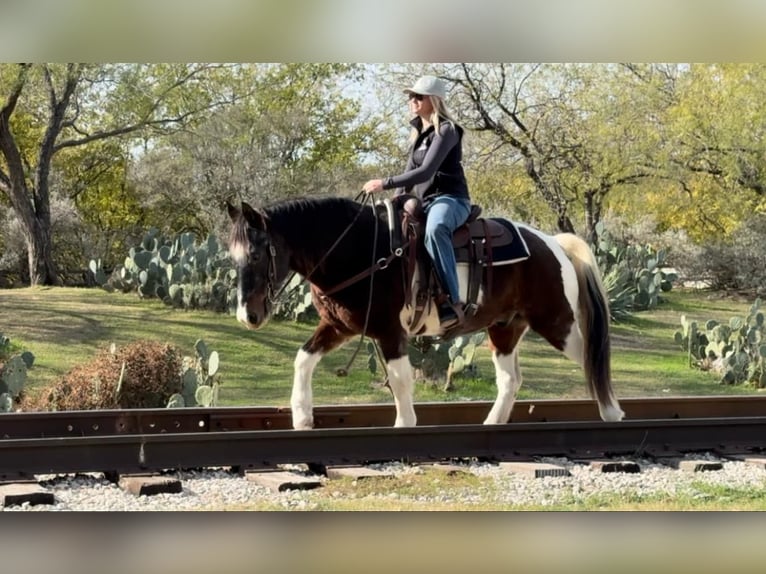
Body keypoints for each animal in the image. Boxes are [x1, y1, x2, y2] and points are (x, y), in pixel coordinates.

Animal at [226, 195, 624, 430]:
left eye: (258, 253)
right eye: (233, 256)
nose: (248, 315)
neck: (359, 250)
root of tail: (553, 243)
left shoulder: (389, 332)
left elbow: (400, 381)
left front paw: (405, 425)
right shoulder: (338, 326)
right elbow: (303, 359)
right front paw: (302, 417)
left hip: (558, 323)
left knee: (592, 360)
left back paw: (612, 414)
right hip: (504, 329)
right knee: (510, 381)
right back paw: (492, 423)